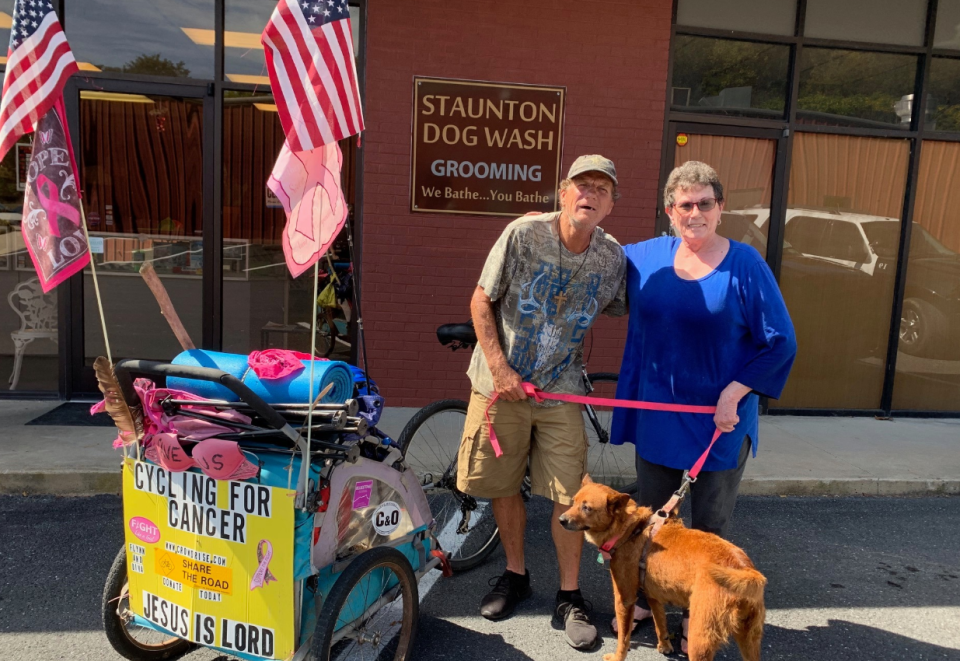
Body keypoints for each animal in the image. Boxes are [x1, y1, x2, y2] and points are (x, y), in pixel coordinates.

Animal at [560, 476, 760, 660]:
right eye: (574, 501)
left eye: (587, 508)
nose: (561, 520)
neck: (630, 529)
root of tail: (743, 567)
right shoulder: (653, 596)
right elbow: (660, 622)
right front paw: (665, 646)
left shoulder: (624, 600)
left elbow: (623, 639)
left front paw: (617, 657)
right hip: (750, 641)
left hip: (699, 639)